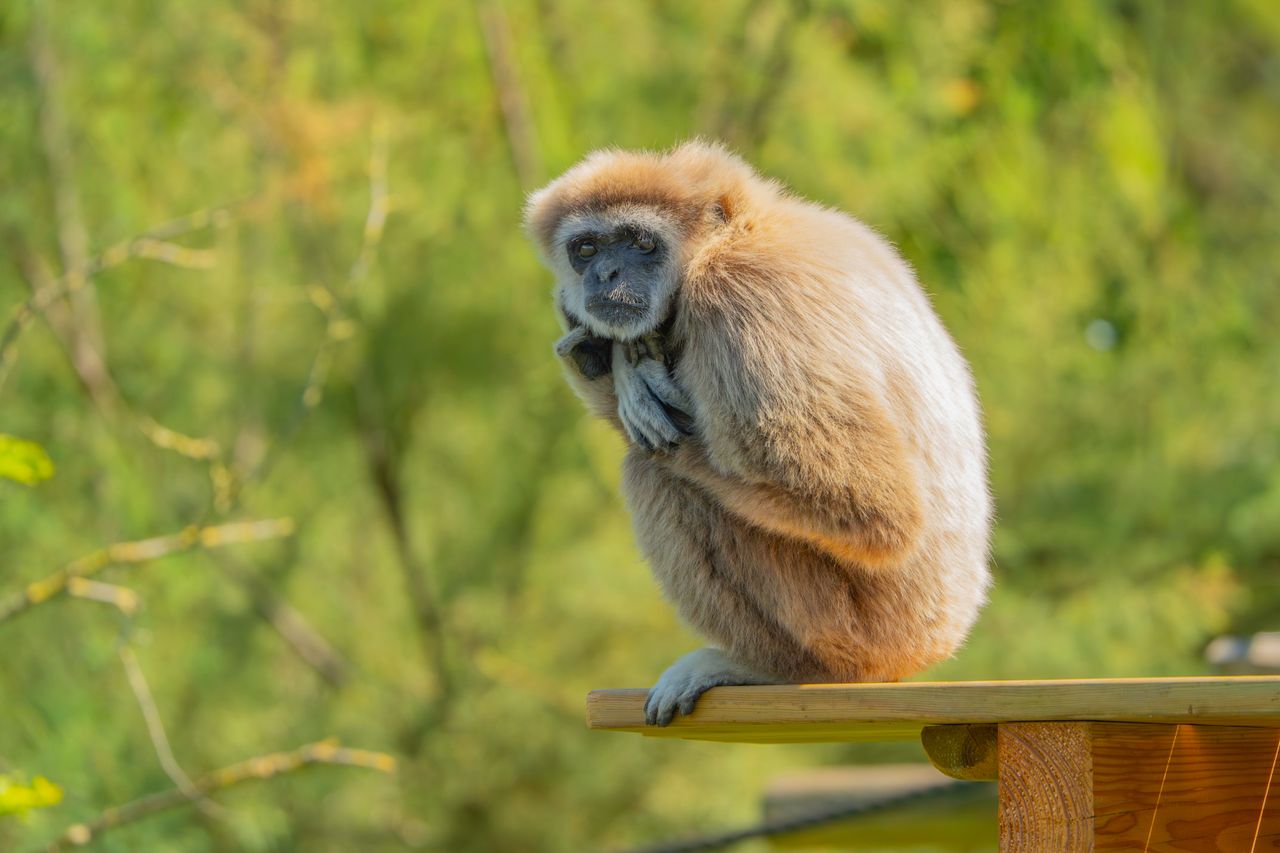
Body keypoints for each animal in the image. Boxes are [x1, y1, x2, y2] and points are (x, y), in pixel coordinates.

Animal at [524, 141, 992, 726]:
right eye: (586, 248)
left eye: (641, 242)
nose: (606, 272)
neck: (742, 231)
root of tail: (939, 638)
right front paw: (613, 361)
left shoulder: (742, 296)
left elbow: (878, 514)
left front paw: (622, 379)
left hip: (856, 630)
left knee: (655, 472)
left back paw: (779, 670)